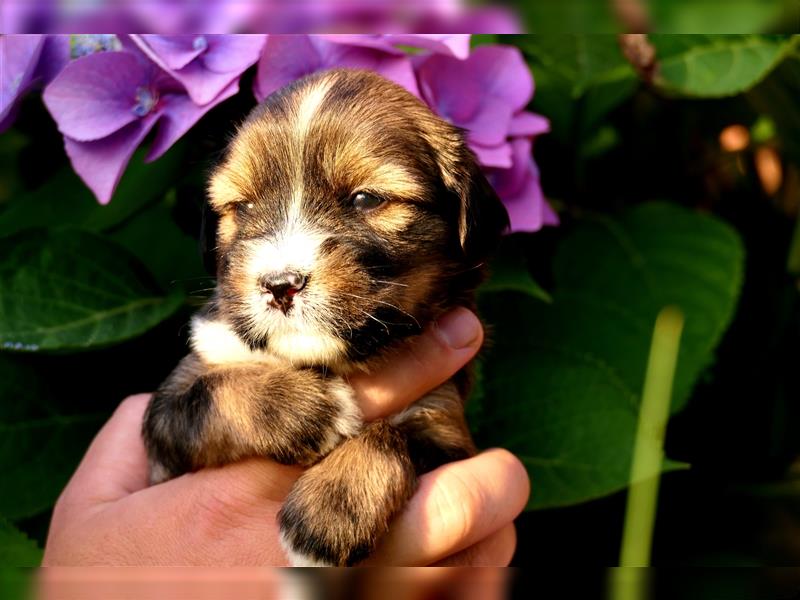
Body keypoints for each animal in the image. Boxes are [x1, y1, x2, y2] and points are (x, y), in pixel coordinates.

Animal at [142, 68, 506, 564]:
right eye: (243, 207)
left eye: (366, 199)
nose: (280, 284)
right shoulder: (167, 412)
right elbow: (213, 395)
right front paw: (309, 409)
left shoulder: (447, 422)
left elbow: (393, 438)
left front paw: (330, 512)